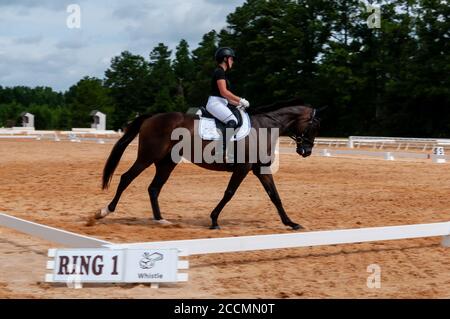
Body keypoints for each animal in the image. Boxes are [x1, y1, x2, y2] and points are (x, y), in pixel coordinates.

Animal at [96, 99, 320, 231]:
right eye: (313, 126)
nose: (306, 152)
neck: (263, 128)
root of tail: (152, 117)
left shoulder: (260, 169)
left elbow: (275, 196)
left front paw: (291, 223)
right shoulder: (243, 168)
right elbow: (229, 193)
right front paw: (214, 220)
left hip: (167, 162)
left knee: (154, 188)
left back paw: (160, 219)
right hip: (147, 157)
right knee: (127, 178)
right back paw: (105, 211)